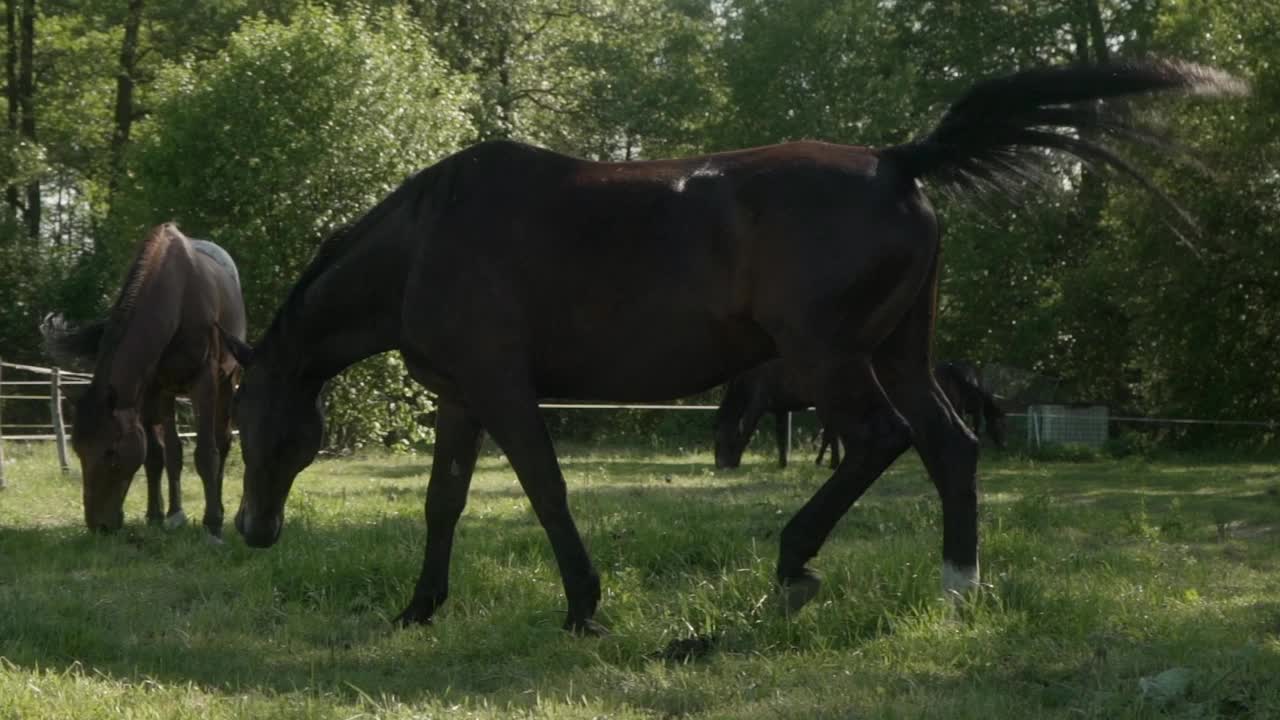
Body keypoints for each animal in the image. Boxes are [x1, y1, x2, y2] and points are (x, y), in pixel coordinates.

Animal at [42, 221, 245, 535]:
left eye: (111, 452)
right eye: (78, 450)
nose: (99, 526)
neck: (177, 296)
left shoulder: (204, 382)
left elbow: (205, 454)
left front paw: (213, 524)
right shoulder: (151, 389)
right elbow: (155, 455)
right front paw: (156, 515)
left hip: (226, 382)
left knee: (221, 444)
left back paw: (220, 510)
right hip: (170, 392)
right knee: (173, 451)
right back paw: (175, 512)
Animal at [225, 63, 1244, 632]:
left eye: (256, 422)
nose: (251, 531)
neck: (428, 239)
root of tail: (897, 161)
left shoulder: (505, 390)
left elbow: (547, 493)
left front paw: (584, 608)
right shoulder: (462, 397)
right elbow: (443, 504)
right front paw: (418, 609)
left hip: (836, 361)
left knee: (882, 442)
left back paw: (794, 568)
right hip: (899, 355)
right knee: (949, 448)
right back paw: (957, 594)